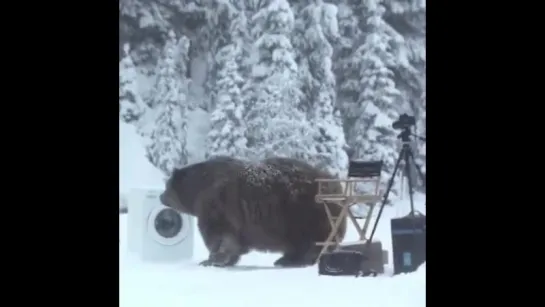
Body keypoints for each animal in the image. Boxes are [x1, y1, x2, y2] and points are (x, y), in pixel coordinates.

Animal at [157, 156, 346, 268]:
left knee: (309, 241)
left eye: (167, 186)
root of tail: (336, 184)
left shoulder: (217, 205)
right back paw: (285, 259)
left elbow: (219, 236)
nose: (160, 196)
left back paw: (292, 260)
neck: (197, 191)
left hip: (302, 212)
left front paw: (212, 259)